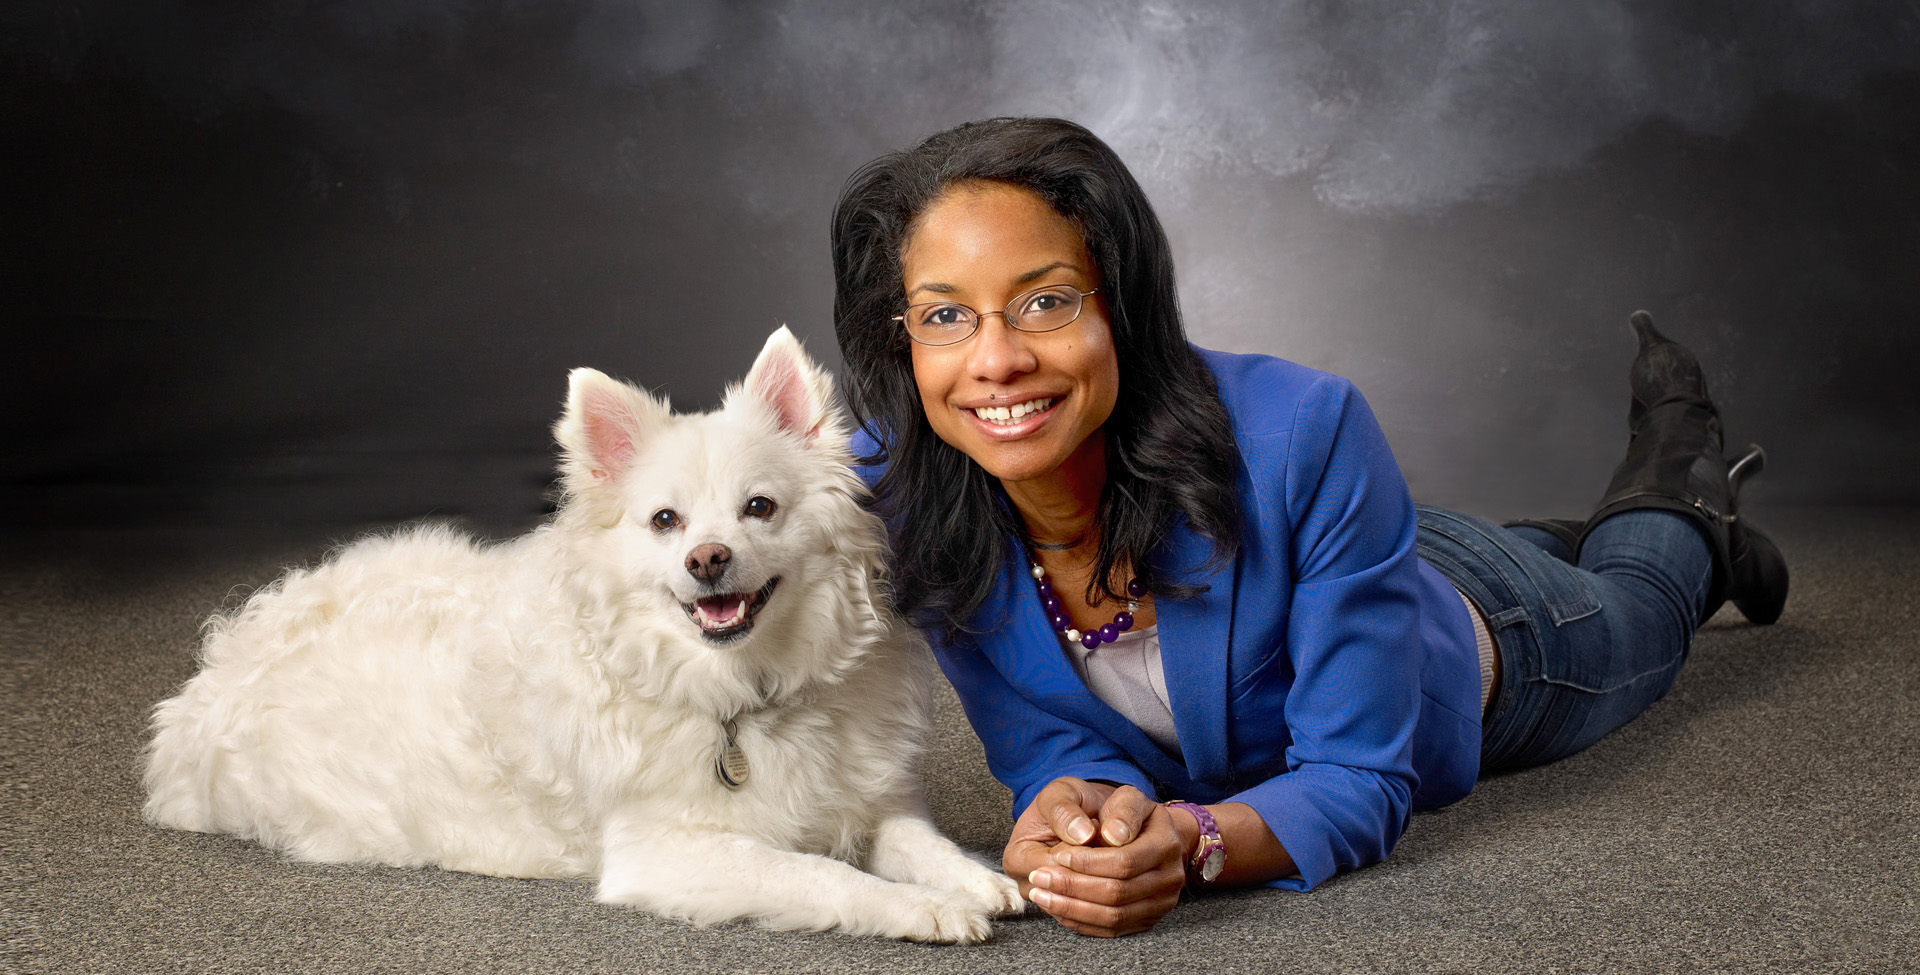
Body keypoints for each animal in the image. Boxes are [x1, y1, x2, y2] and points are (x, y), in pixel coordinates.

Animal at [142, 330, 1029, 944]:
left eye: (760, 508)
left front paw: (973, 878)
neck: (747, 690)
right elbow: (818, 873)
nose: (708, 559)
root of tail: (220, 659)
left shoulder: (872, 798)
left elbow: (918, 839)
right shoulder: (672, 854)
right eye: (665, 521)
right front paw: (923, 908)